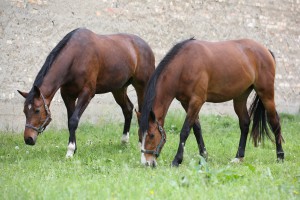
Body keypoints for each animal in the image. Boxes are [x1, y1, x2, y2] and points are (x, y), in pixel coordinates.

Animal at [18, 27, 155, 158]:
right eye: (24, 111)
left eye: (37, 110)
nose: (28, 139)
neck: (76, 57)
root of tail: (146, 46)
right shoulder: (68, 95)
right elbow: (70, 121)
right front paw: (73, 148)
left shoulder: (87, 93)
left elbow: (74, 121)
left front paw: (70, 151)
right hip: (118, 89)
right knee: (128, 109)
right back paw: (124, 141)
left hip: (142, 86)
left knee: (141, 112)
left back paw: (140, 144)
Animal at [138, 37, 284, 167]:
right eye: (140, 136)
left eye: (151, 135)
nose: (147, 163)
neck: (185, 64)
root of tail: (265, 50)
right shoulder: (186, 102)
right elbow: (197, 129)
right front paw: (204, 156)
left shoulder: (196, 101)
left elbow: (185, 130)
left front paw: (177, 160)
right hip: (240, 98)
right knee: (245, 123)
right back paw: (239, 157)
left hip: (266, 95)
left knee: (274, 121)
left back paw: (280, 156)